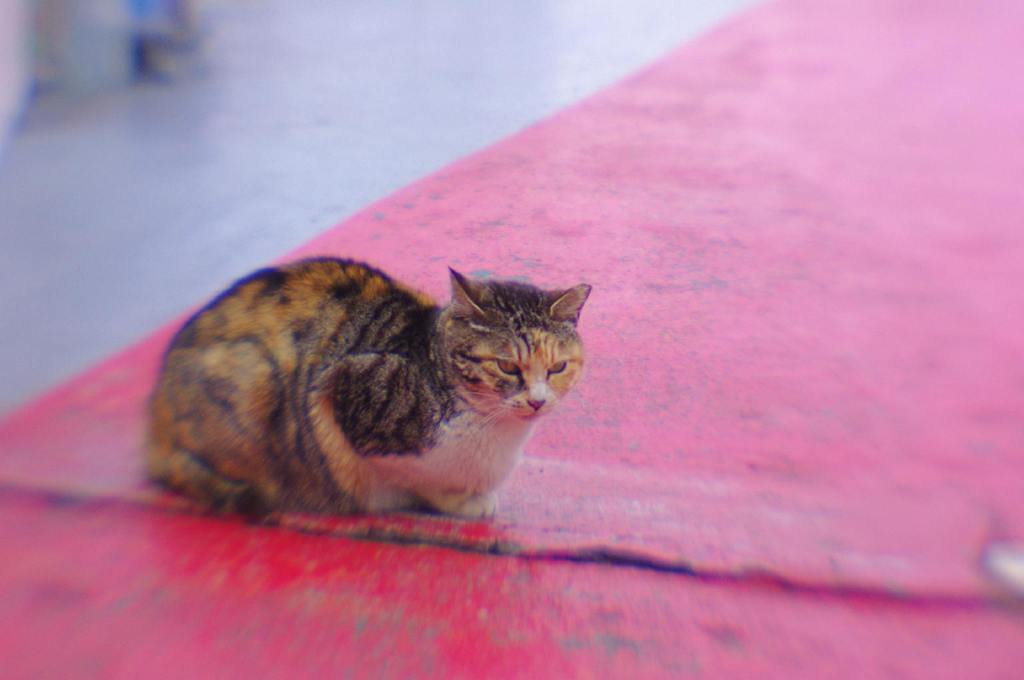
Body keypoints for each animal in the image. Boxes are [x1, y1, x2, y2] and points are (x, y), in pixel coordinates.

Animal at [146, 258, 593, 518]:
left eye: (557, 367)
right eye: (507, 366)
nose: (537, 402)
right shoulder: (339, 393)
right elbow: (414, 479)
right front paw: (461, 501)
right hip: (254, 375)